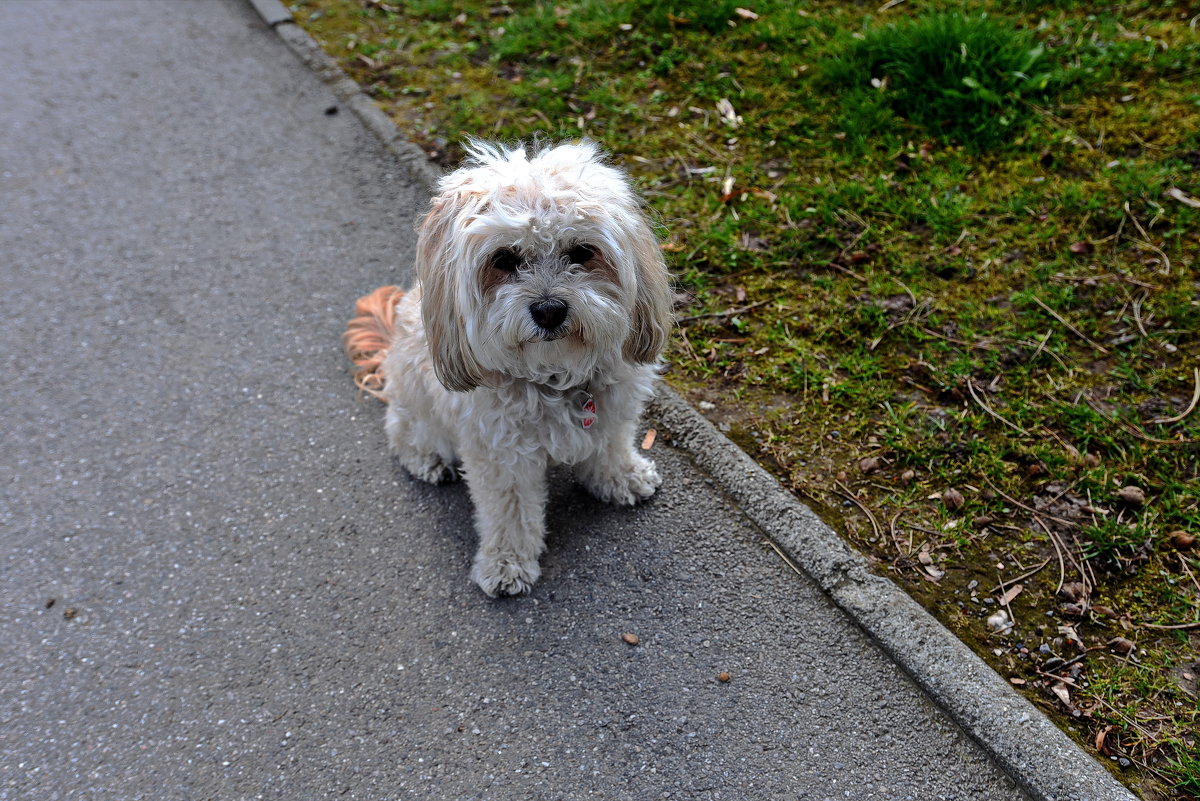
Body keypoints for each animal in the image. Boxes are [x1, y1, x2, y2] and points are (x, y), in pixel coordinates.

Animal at [345, 140, 676, 597]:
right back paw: (424, 457)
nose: (550, 310)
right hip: (417, 406)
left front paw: (620, 476)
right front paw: (506, 563)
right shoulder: (500, 455)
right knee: (400, 430)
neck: (554, 376)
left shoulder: (614, 409)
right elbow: (510, 512)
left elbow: (609, 445)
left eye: (582, 252)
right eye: (504, 259)